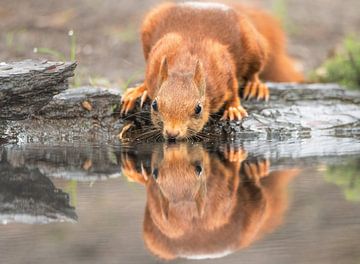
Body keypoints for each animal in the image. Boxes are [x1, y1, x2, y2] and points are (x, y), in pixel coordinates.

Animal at [119, 1, 302, 140]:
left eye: (198, 109)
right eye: (155, 105)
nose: (172, 133)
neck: (184, 66)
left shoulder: (223, 66)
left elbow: (233, 88)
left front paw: (233, 107)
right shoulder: (157, 57)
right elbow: (148, 78)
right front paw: (140, 89)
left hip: (255, 48)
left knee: (254, 72)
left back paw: (255, 86)